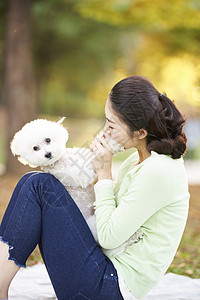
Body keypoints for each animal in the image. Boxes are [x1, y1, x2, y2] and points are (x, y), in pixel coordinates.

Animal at [10, 118, 143, 256]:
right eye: (35, 148)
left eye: (48, 140)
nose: (48, 154)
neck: (60, 160)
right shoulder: (81, 173)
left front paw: (112, 142)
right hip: (92, 226)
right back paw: (132, 237)